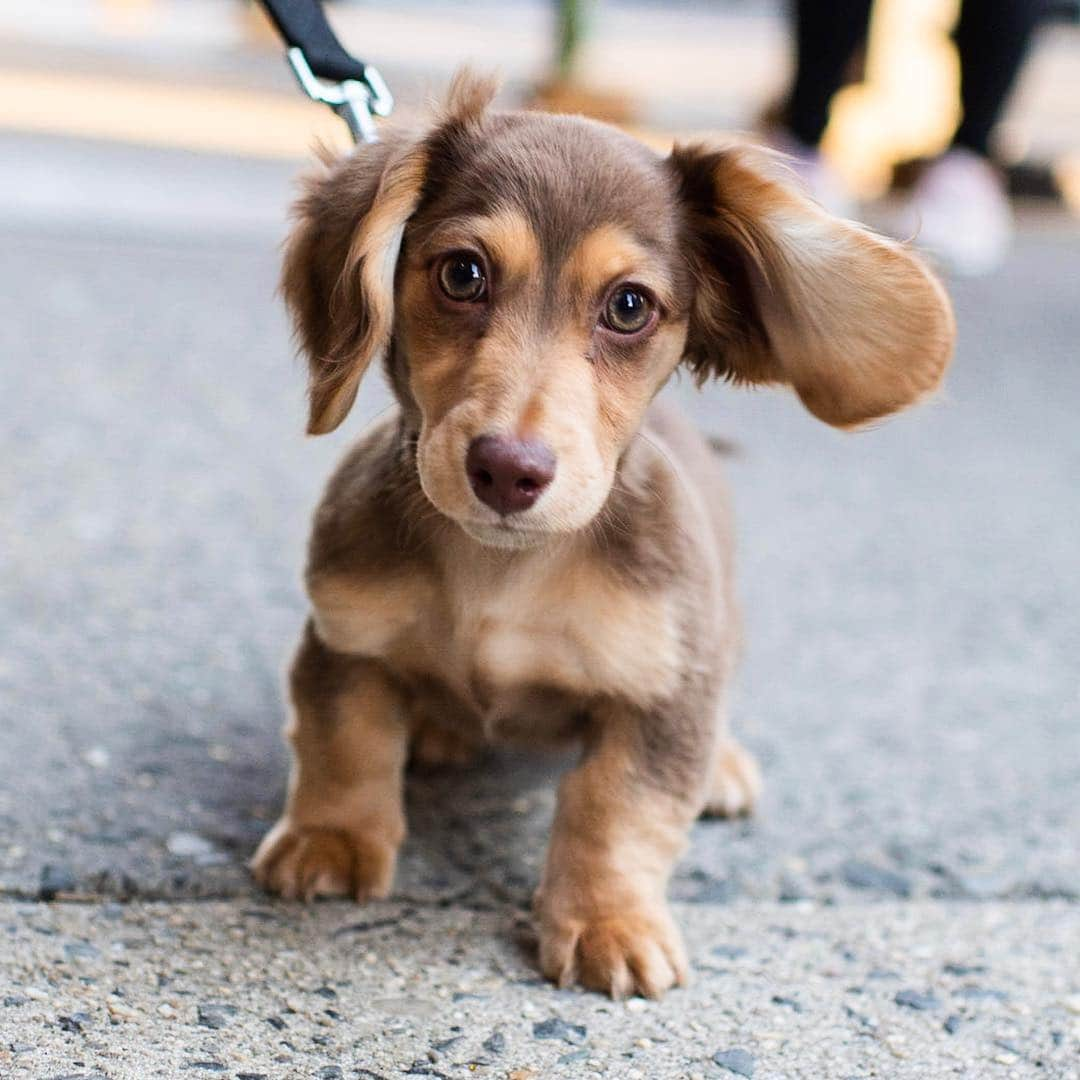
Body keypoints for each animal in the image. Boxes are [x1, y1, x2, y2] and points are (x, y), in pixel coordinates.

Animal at [252, 73, 954, 1002]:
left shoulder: (661, 697)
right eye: (462, 274)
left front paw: (606, 920)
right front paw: (331, 838)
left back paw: (723, 769)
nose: (508, 470)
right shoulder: (345, 640)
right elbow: (344, 742)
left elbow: (617, 808)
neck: (504, 572)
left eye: (628, 307)